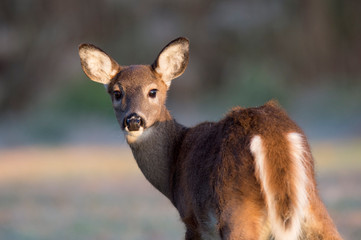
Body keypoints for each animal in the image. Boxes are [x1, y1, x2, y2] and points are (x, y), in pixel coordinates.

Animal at [77, 37, 342, 240]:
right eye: (116, 93)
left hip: (237, 213)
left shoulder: (192, 220)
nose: (134, 121)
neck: (174, 165)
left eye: (153, 91)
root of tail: (271, 135)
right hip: (313, 206)